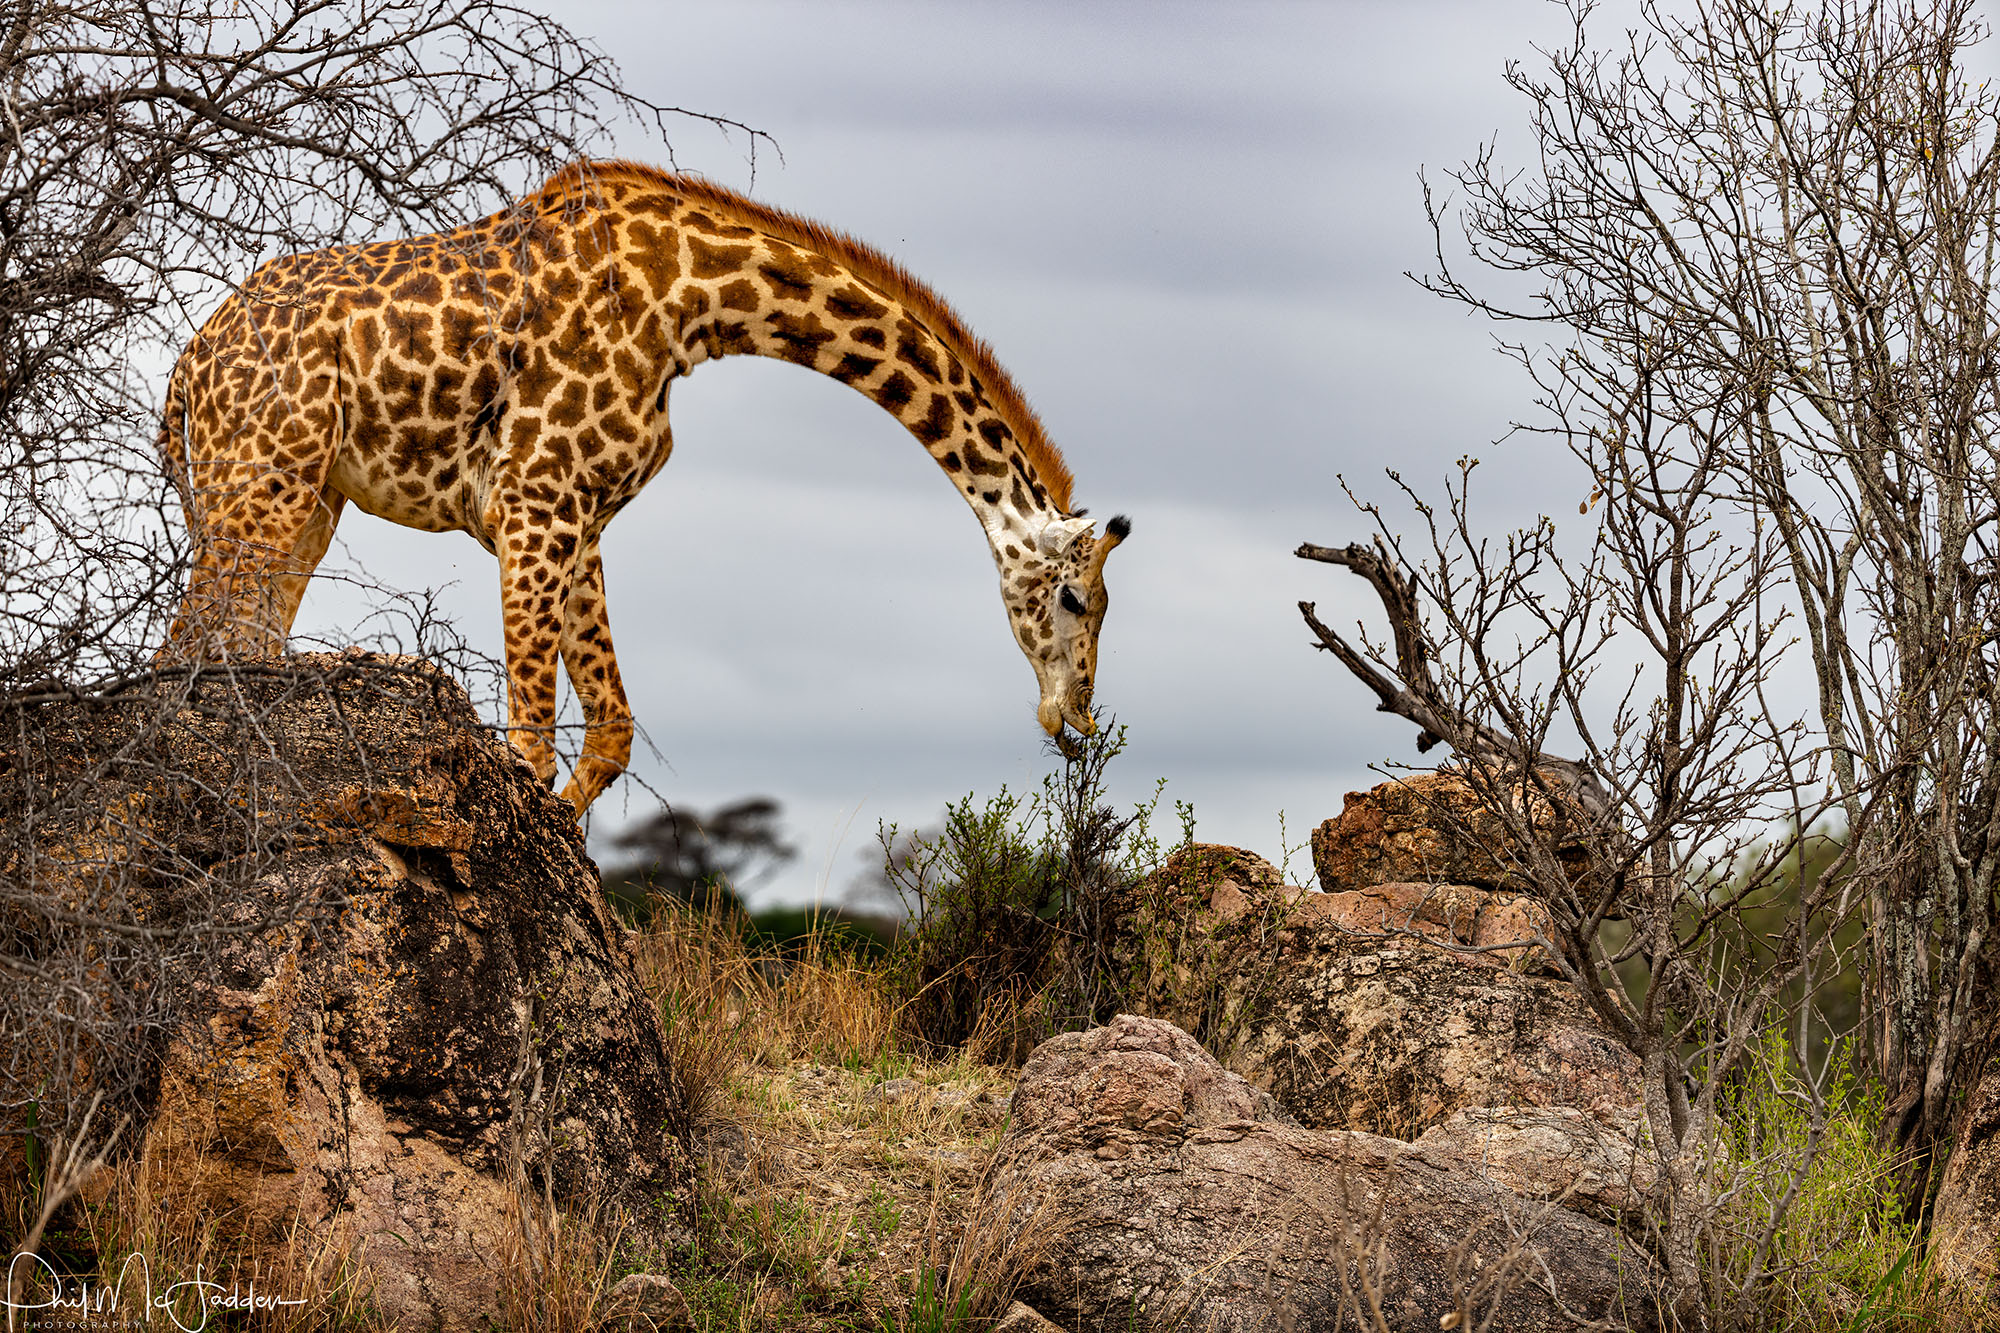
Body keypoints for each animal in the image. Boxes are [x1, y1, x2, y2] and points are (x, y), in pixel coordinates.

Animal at [160, 162, 1128, 816]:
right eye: (1076, 599)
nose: (1076, 716)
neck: (689, 301)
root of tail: (189, 363)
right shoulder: (534, 498)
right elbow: (531, 743)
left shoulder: (577, 515)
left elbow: (612, 731)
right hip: (262, 481)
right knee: (186, 653)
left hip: (308, 499)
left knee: (238, 650)